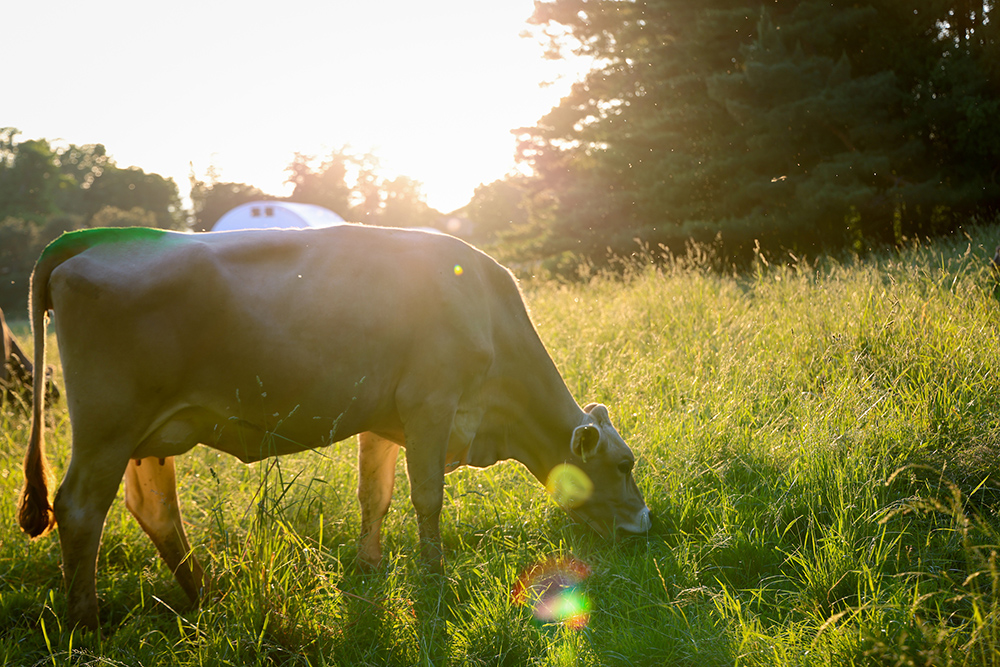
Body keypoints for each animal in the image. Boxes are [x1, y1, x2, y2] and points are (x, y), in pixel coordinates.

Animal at [21, 224, 656, 632]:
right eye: (623, 464)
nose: (646, 525)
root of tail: (90, 239)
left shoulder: (385, 417)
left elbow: (376, 494)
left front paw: (370, 566)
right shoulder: (431, 403)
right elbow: (427, 496)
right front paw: (434, 575)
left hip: (150, 436)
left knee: (153, 509)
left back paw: (206, 596)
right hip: (107, 427)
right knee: (80, 508)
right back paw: (87, 623)